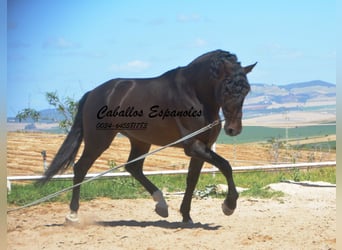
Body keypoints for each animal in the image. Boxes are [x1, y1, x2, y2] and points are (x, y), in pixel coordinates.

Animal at [38, 49, 255, 224]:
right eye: (227, 87)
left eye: (246, 89)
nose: (233, 129)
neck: (194, 93)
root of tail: (94, 93)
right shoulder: (193, 145)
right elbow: (226, 166)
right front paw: (229, 206)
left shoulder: (202, 146)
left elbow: (192, 179)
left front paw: (186, 216)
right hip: (98, 140)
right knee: (81, 168)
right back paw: (72, 215)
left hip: (140, 141)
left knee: (133, 167)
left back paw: (162, 206)